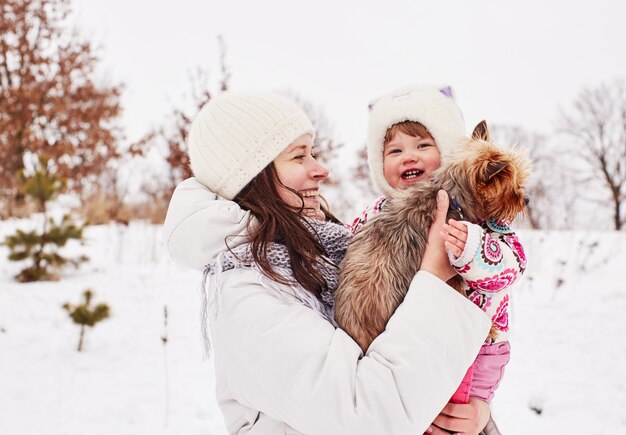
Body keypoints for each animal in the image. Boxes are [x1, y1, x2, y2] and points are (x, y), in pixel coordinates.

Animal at [334, 121, 528, 352]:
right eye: (512, 189)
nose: (525, 200)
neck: (450, 193)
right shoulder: (450, 276)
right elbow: (461, 293)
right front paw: (489, 330)